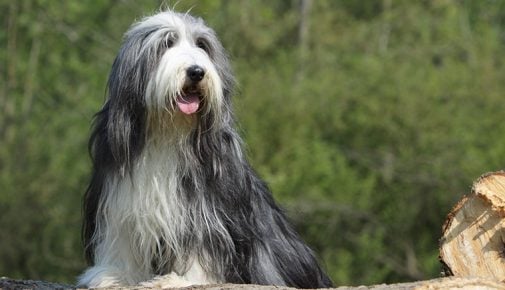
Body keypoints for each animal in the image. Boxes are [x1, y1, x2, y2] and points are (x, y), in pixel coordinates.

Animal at [78, 9, 330, 288]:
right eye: (167, 43)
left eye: (202, 45)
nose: (197, 72)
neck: (168, 132)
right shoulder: (120, 193)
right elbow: (121, 231)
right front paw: (115, 274)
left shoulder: (205, 207)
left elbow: (201, 240)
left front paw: (181, 279)